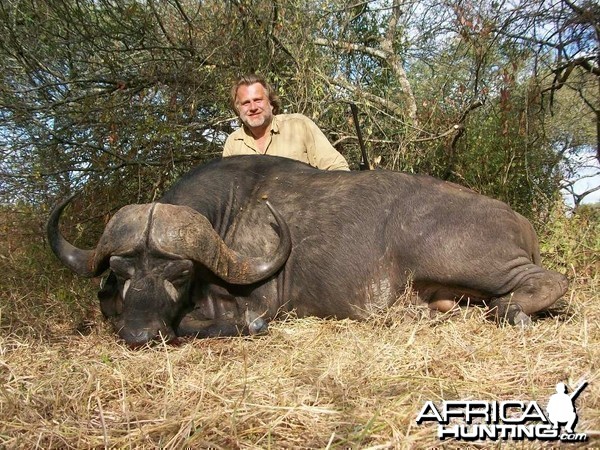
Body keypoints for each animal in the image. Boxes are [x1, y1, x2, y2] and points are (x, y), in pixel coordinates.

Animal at [47, 155, 568, 344]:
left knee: (550, 282)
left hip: (473, 263)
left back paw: (512, 311)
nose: (140, 334)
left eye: (179, 273)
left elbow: (214, 324)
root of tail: (519, 220)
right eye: (121, 270)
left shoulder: (256, 305)